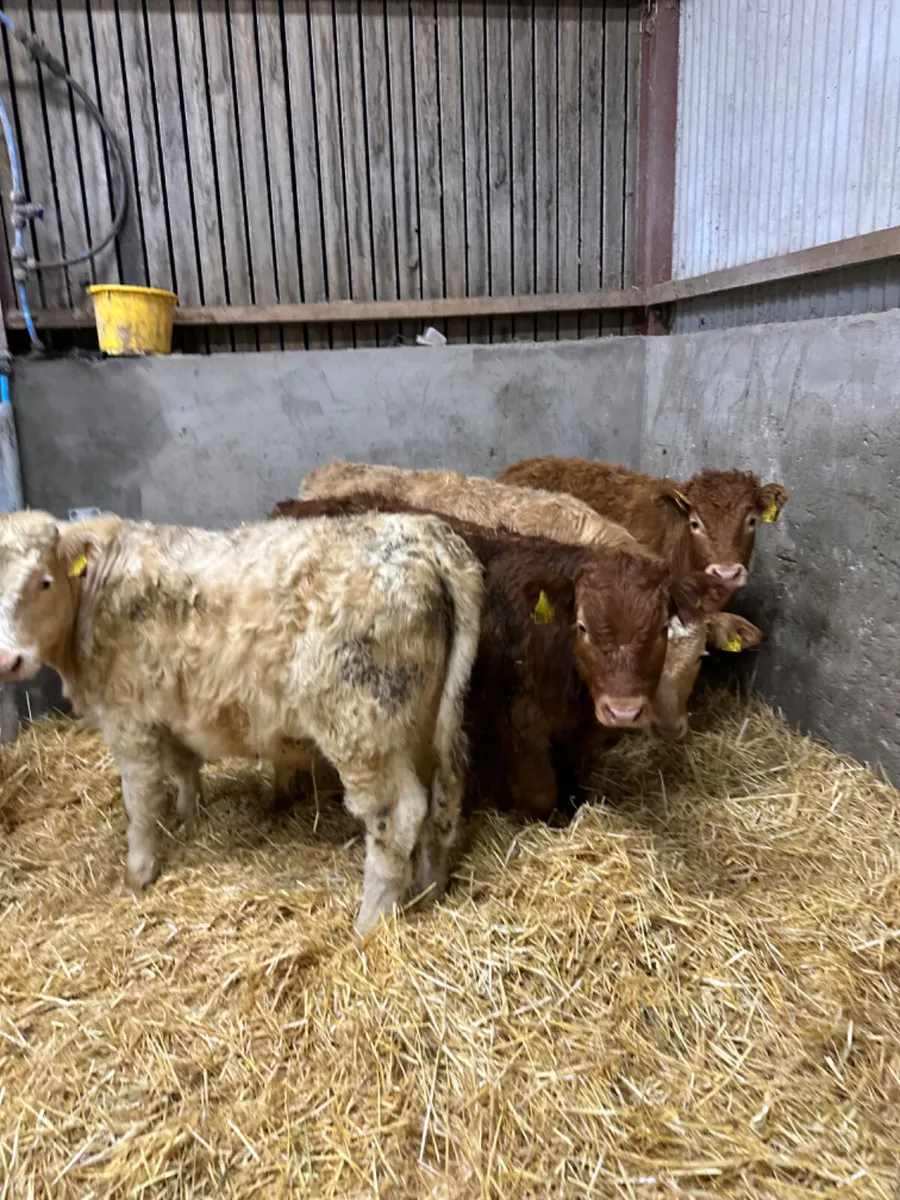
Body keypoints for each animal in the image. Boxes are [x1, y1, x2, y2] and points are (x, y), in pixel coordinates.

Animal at [0, 509, 484, 936]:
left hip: (362, 724)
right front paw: (189, 820)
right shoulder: (173, 714)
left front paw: (137, 876)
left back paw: (369, 925)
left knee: (396, 816)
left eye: (44, 581)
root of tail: (423, 534)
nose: (7, 661)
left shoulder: (129, 721)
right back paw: (428, 890)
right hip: (425, 722)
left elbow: (140, 805)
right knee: (444, 796)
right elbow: (184, 770)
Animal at [272, 495, 740, 819]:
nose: (624, 711)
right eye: (583, 627)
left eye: (661, 628)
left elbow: (573, 779)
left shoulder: (582, 729)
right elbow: (540, 793)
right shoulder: (517, 720)